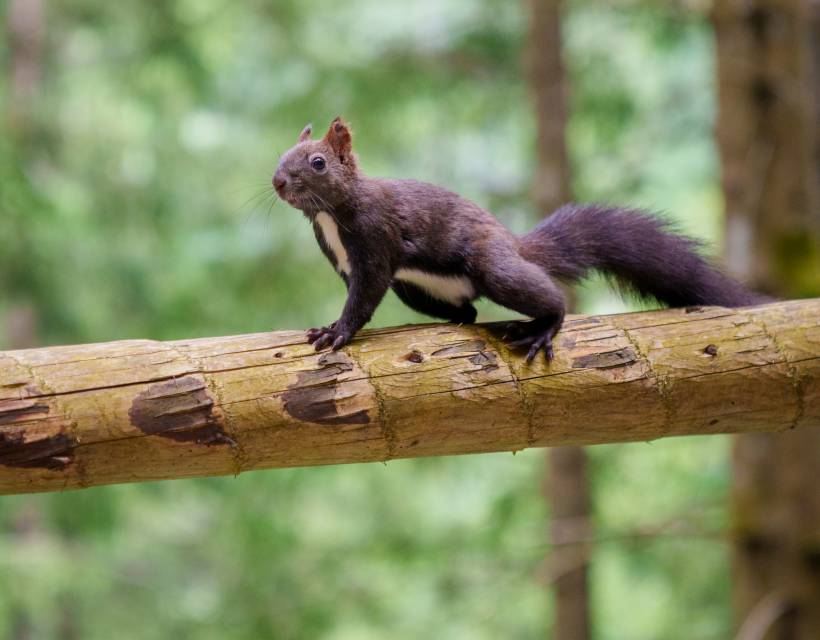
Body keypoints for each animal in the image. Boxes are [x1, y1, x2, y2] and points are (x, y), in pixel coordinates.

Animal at [272, 117, 766, 362]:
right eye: (281, 155)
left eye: (317, 162)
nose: (277, 181)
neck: (330, 215)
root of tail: (512, 245)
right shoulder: (345, 262)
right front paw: (329, 325)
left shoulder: (376, 243)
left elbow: (363, 297)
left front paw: (337, 331)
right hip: (417, 290)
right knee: (468, 312)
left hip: (493, 268)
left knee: (549, 300)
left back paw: (541, 328)